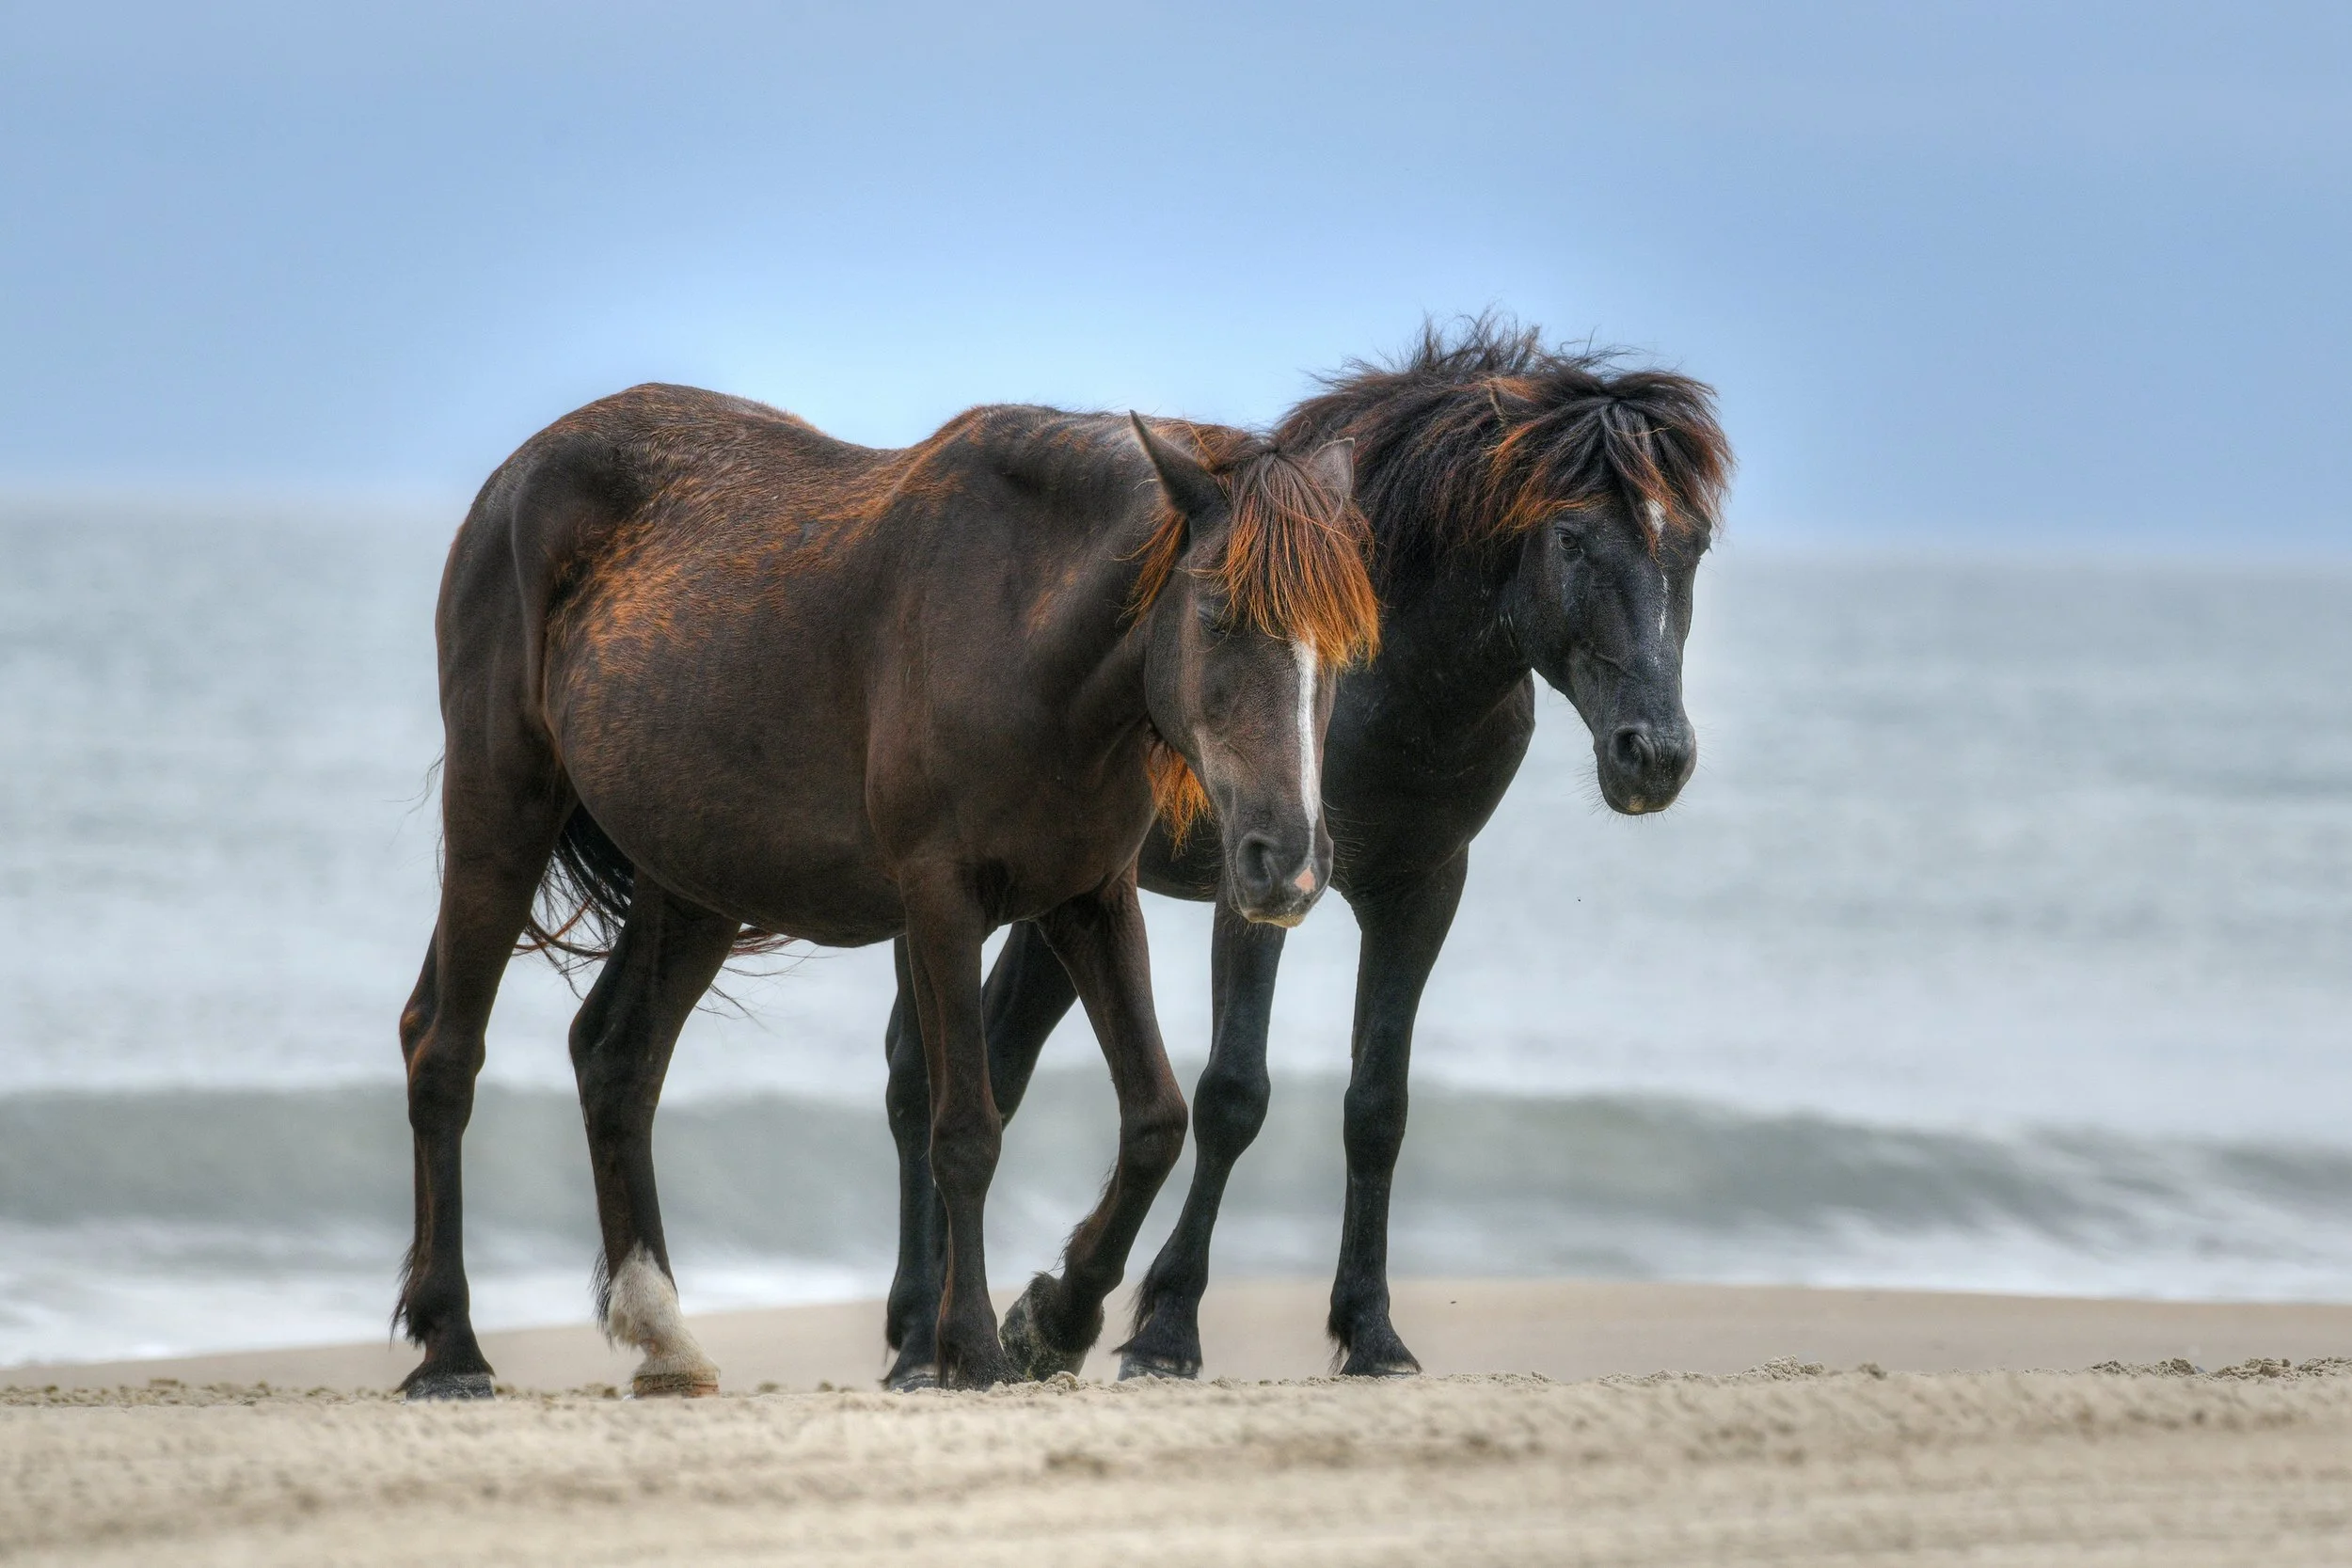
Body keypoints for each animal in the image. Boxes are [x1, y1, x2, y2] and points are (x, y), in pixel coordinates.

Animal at [393, 383, 1378, 1397]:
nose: (1289, 862)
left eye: (1345, 650)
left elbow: (1155, 1120)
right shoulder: (941, 901)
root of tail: (515, 478)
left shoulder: (1091, 899)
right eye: (1217, 614)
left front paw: (1051, 1321)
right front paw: (973, 1347)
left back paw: (661, 1331)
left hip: (692, 881)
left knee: (614, 1056)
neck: (1018, 628)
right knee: (443, 1047)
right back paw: (451, 1346)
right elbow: (966, 1132)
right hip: (500, 813)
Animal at [881, 320, 1731, 1386]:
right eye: (1572, 537)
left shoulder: (1422, 890)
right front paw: (1162, 1327)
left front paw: (1370, 1329)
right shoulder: (1257, 888)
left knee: (995, 1053)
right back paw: (922, 1332)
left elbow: (1377, 1107)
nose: (1654, 754)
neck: (1393, 673)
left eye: (1693, 543)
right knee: (918, 1073)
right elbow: (1233, 1094)